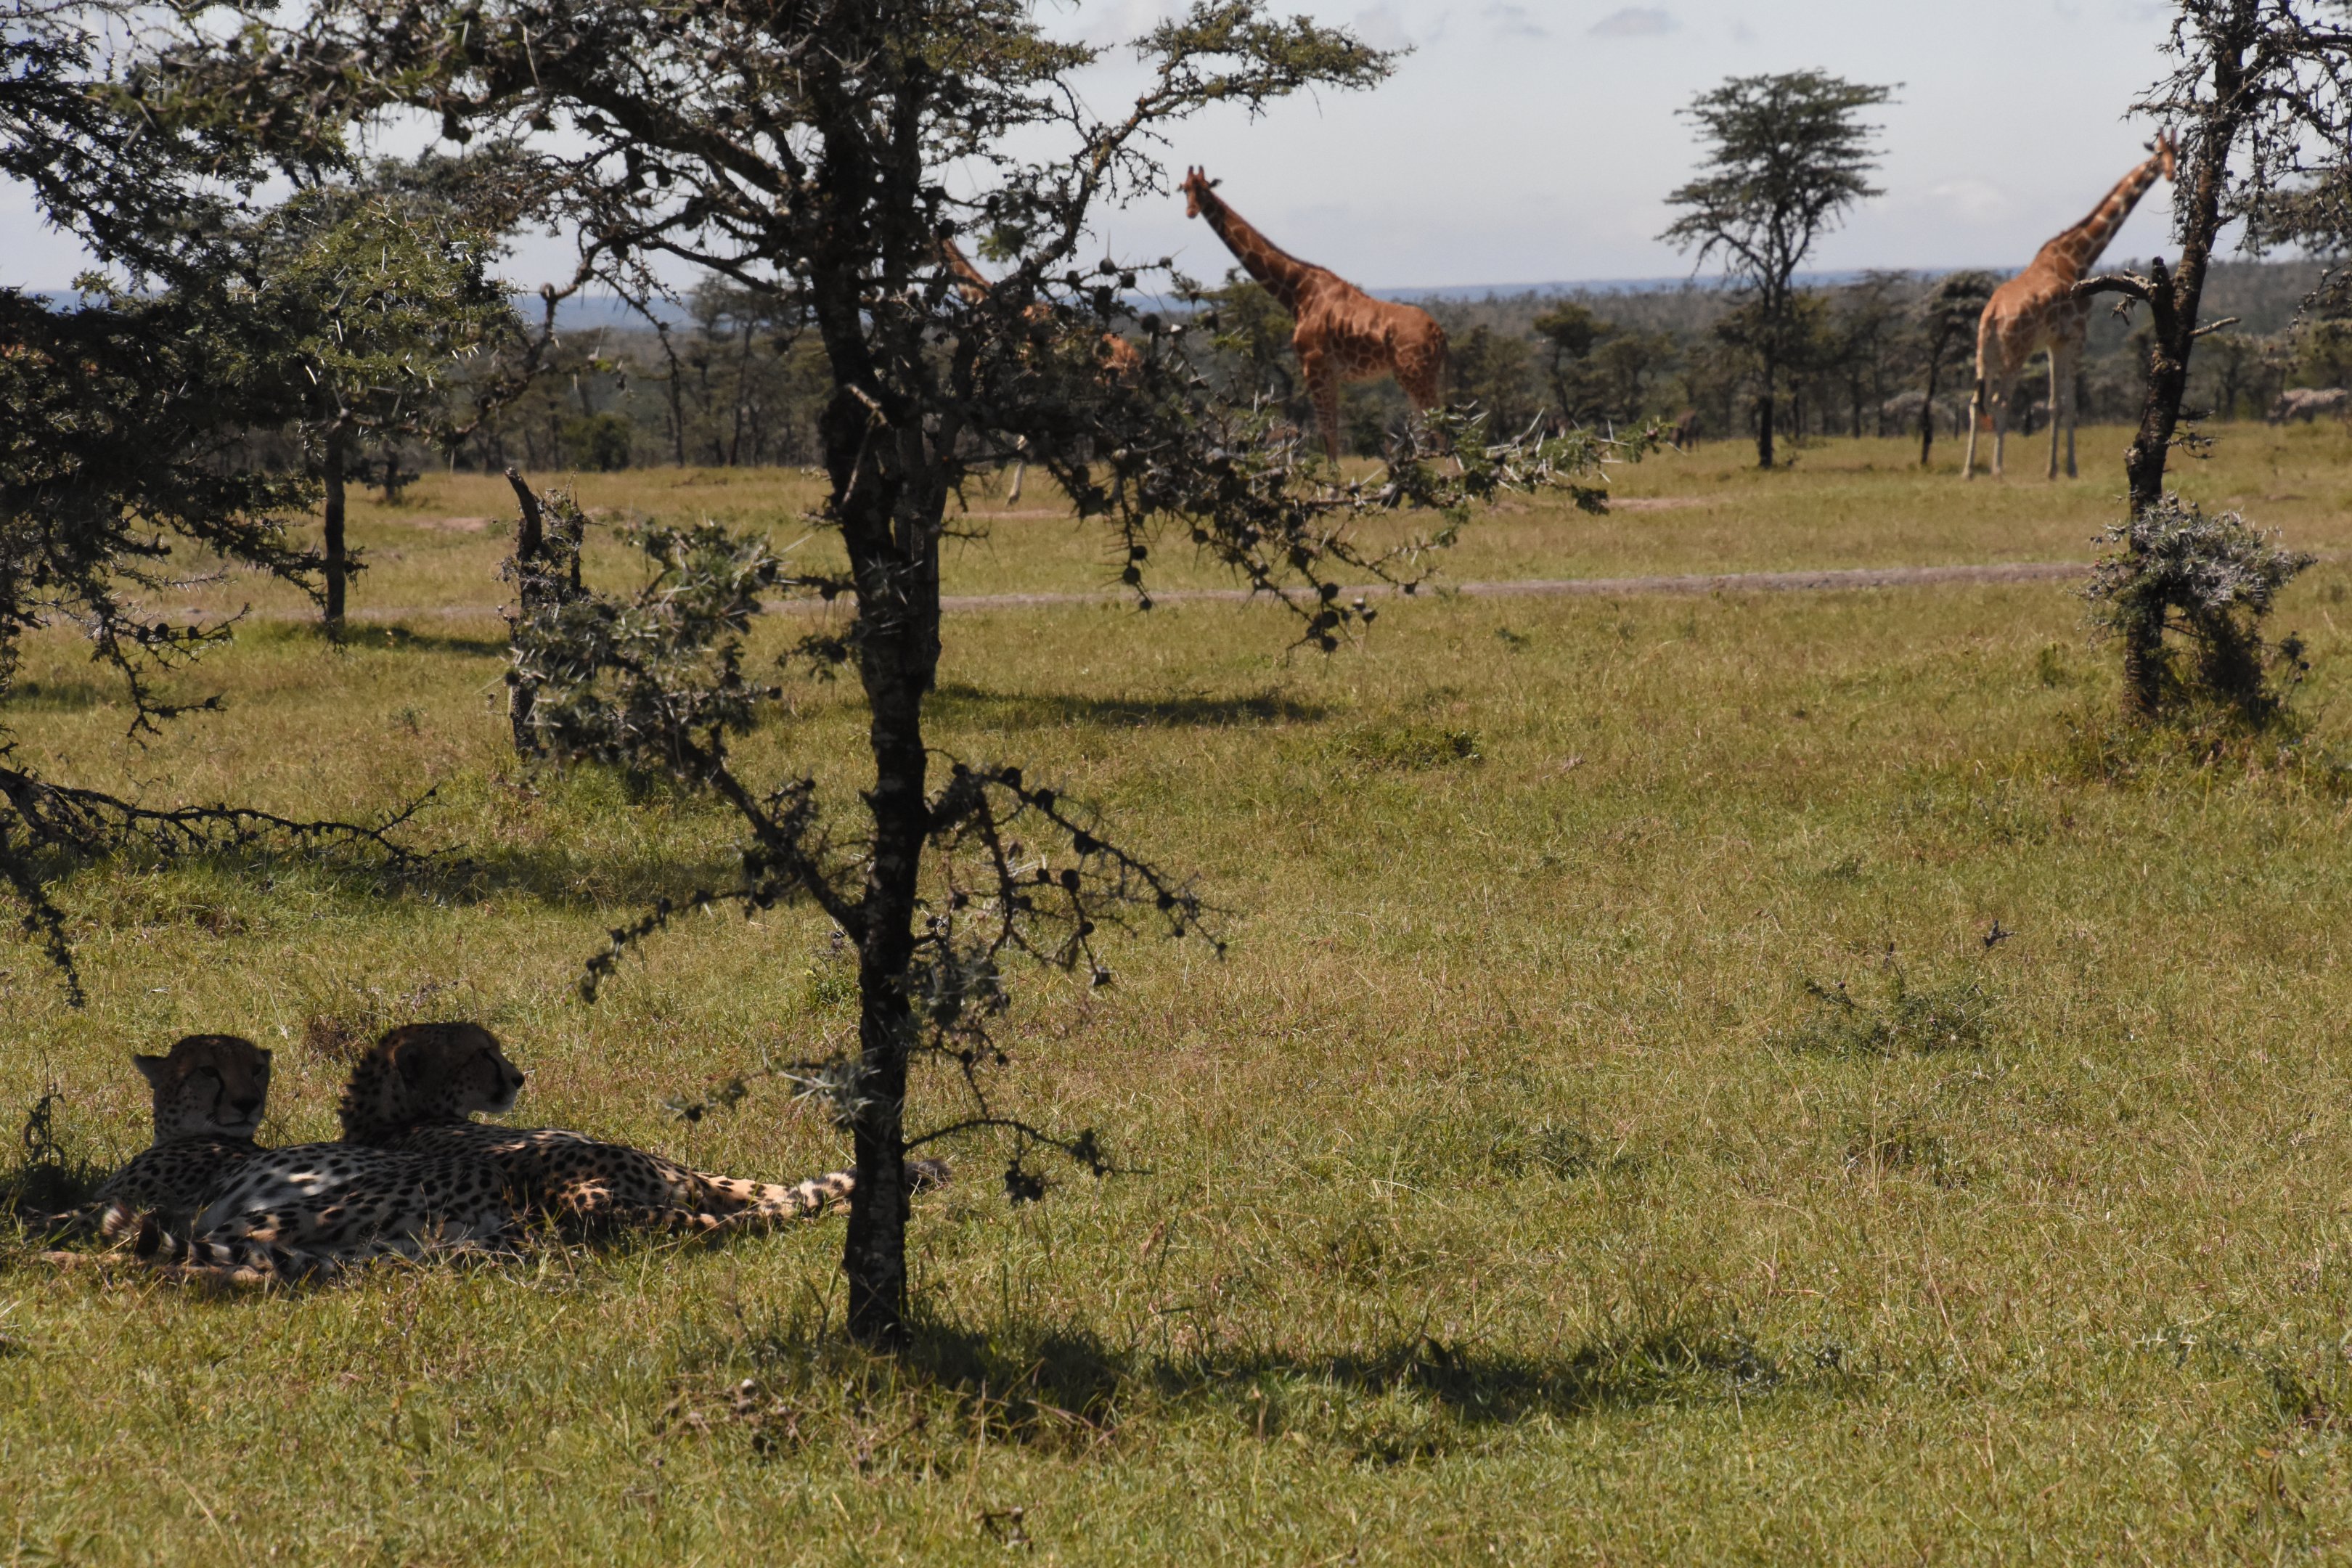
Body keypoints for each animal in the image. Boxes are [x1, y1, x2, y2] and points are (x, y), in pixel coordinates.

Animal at [337, 1022, 942, 1235]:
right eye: (482, 1053)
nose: (518, 1076)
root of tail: (574, 1196)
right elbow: (778, 1189)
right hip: (671, 1174)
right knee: (769, 1198)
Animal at [940, 237, 1141, 504]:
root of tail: (1137, 362)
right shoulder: (1040, 381)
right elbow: (1026, 437)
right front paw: (1011, 494)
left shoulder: (1032, 372)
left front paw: (1009, 493)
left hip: (1111, 394)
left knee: (1123, 441)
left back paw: (1117, 496)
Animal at [1179, 168, 1448, 463]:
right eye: (1185, 189)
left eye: (1204, 189)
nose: (1191, 211)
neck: (1298, 292)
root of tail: (1438, 333)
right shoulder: (1329, 373)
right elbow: (1331, 432)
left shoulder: (1315, 366)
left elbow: (1328, 433)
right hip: (1423, 375)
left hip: (1414, 374)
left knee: (1442, 430)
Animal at [1965, 135, 2177, 481]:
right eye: (2160, 154)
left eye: (2178, 152)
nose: (2171, 173)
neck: (2077, 257)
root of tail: (1992, 313)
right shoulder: (2077, 334)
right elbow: (2071, 405)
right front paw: (2069, 468)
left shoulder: (2056, 340)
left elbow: (2055, 404)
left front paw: (2054, 468)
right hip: (2016, 351)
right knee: (2001, 401)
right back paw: (1996, 468)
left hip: (1986, 353)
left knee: (1975, 402)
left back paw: (1969, 470)